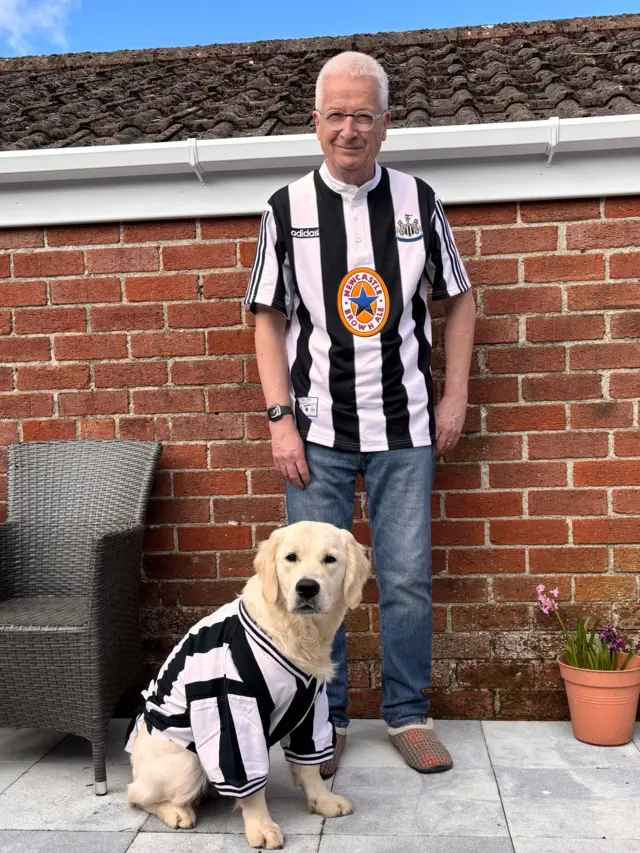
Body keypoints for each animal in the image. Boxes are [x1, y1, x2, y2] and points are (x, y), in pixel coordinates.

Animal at [125, 520, 370, 844]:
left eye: (330, 559)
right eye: (291, 557)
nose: (307, 587)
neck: (294, 632)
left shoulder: (311, 706)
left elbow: (309, 766)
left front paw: (323, 801)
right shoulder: (233, 708)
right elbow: (250, 782)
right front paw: (261, 827)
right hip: (187, 762)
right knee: (137, 795)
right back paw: (177, 812)